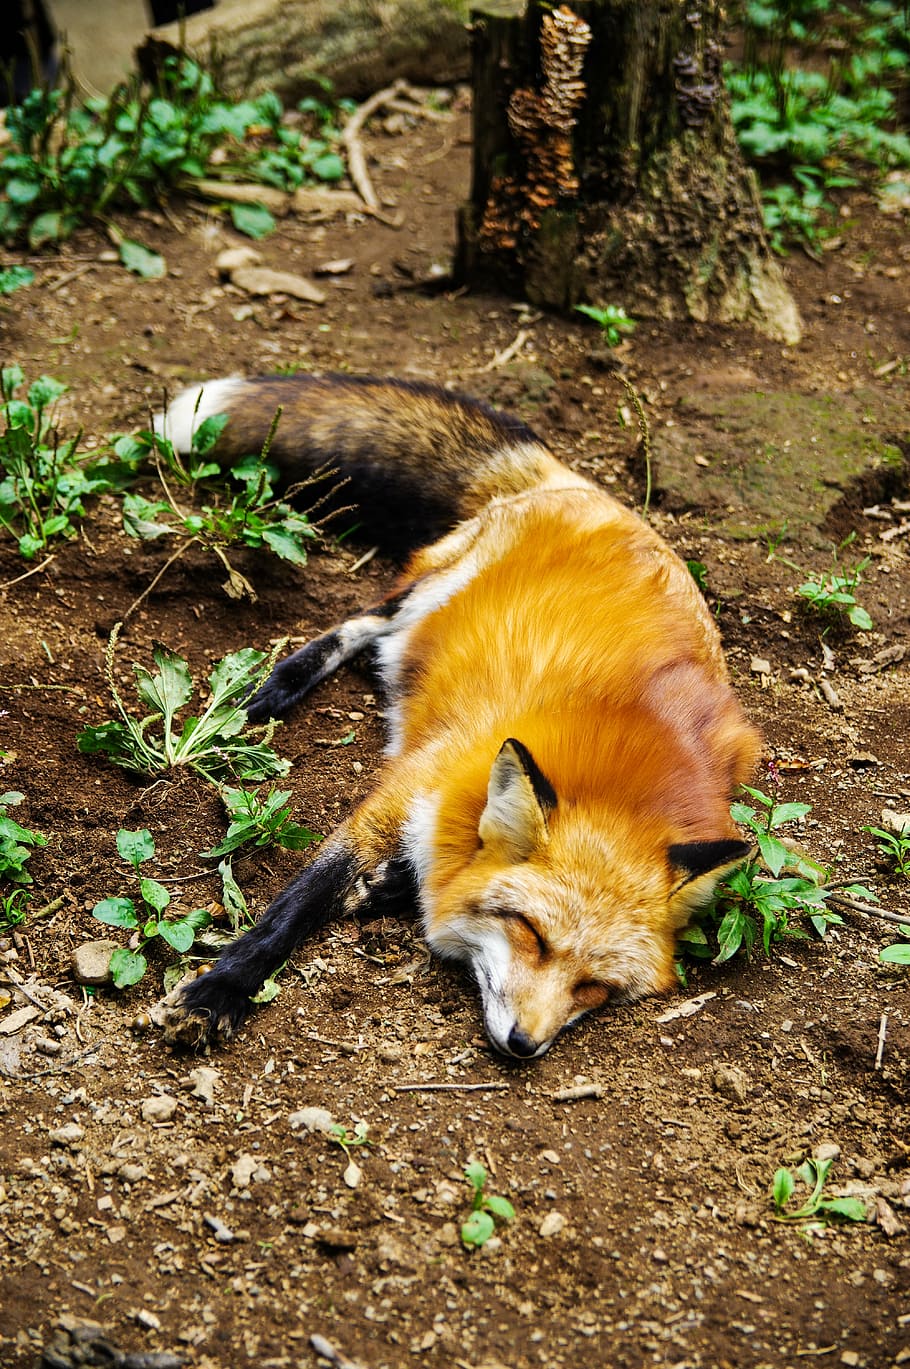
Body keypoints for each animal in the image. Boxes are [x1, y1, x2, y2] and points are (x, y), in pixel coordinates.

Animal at [156, 374, 760, 1059]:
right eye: (532, 934)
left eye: (594, 987)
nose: (525, 1044)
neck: (624, 778)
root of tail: (588, 490)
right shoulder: (401, 792)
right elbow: (296, 906)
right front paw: (219, 991)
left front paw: (393, 885)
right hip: (431, 588)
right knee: (367, 619)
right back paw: (276, 687)